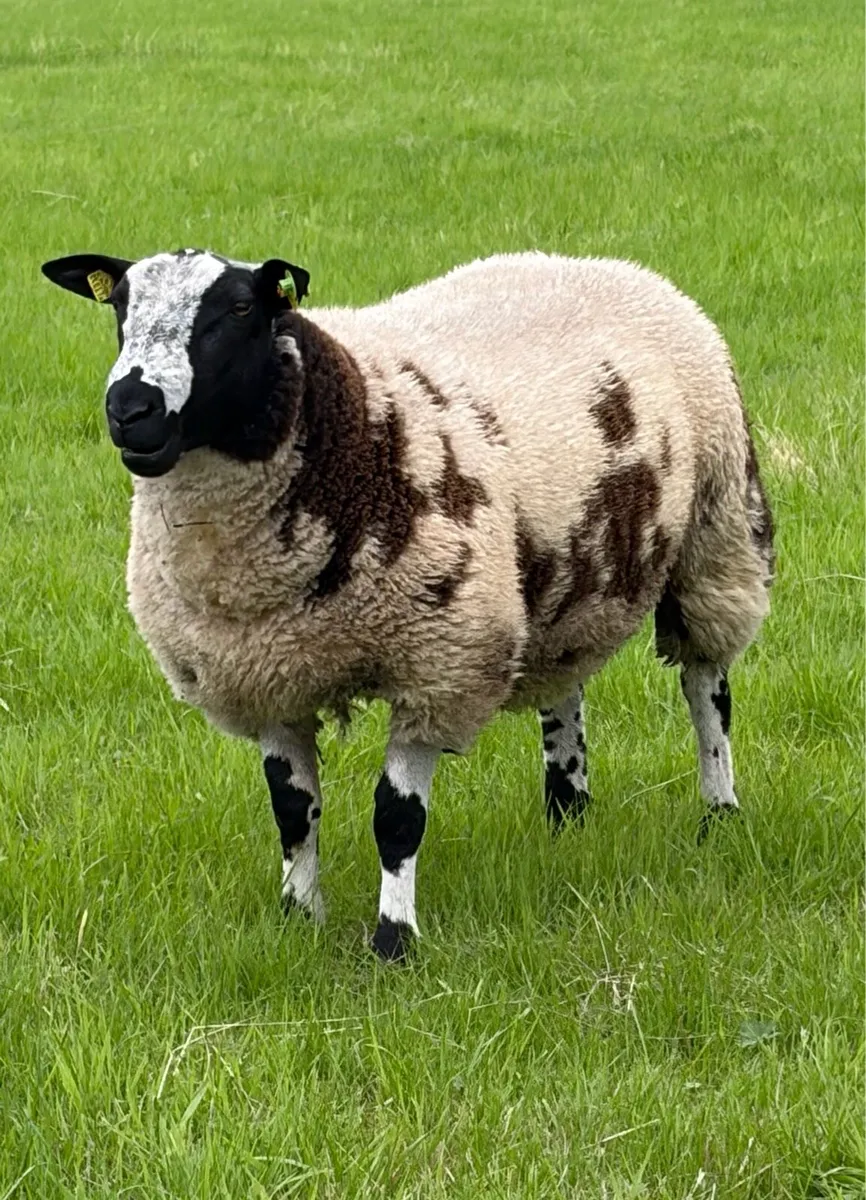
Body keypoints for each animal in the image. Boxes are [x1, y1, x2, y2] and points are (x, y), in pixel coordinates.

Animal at [41, 248, 774, 959]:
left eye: (242, 308)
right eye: (119, 306)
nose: (130, 409)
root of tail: (608, 264)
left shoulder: (440, 664)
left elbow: (397, 819)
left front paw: (394, 940)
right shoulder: (267, 674)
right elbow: (292, 810)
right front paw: (298, 918)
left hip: (718, 529)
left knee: (706, 689)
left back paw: (720, 812)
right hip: (565, 582)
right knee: (565, 692)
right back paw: (568, 815)